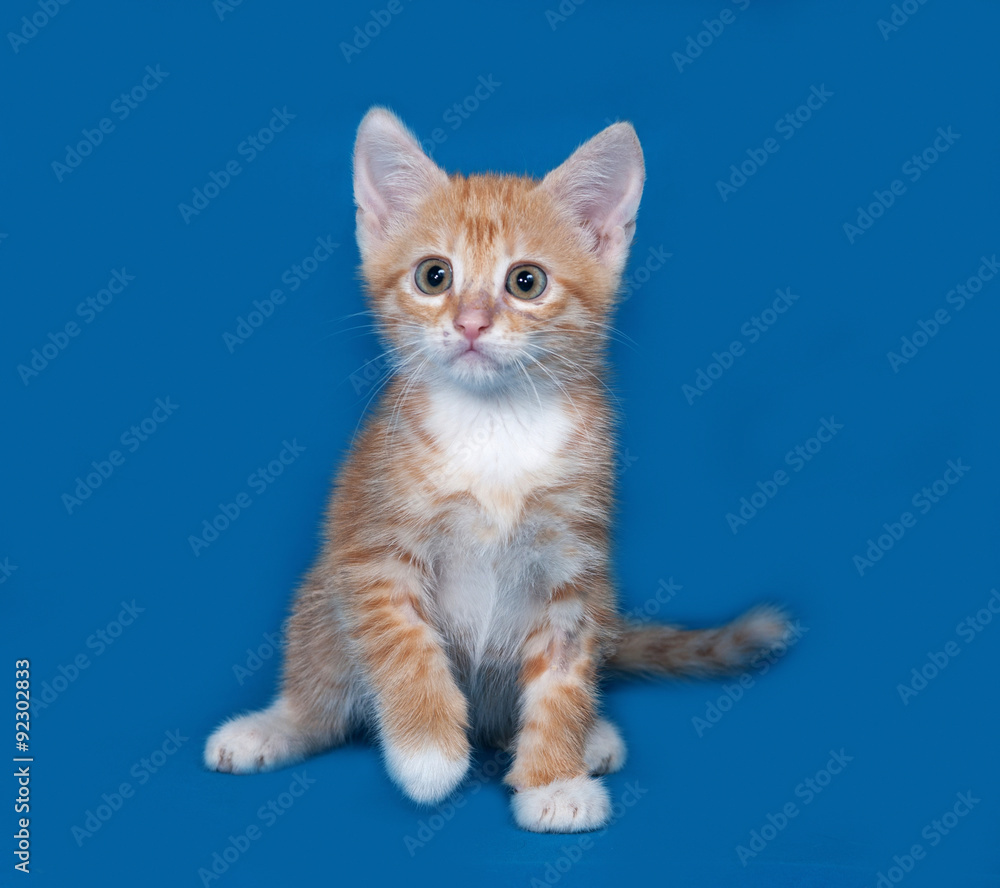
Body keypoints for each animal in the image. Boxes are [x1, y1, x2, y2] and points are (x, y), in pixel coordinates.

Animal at [207, 109, 792, 832]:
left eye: (526, 281)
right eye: (434, 276)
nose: (471, 324)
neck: (494, 428)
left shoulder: (575, 568)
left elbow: (564, 676)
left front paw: (554, 778)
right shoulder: (372, 551)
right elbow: (403, 643)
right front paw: (428, 753)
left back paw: (589, 737)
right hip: (322, 602)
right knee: (321, 693)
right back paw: (273, 726)